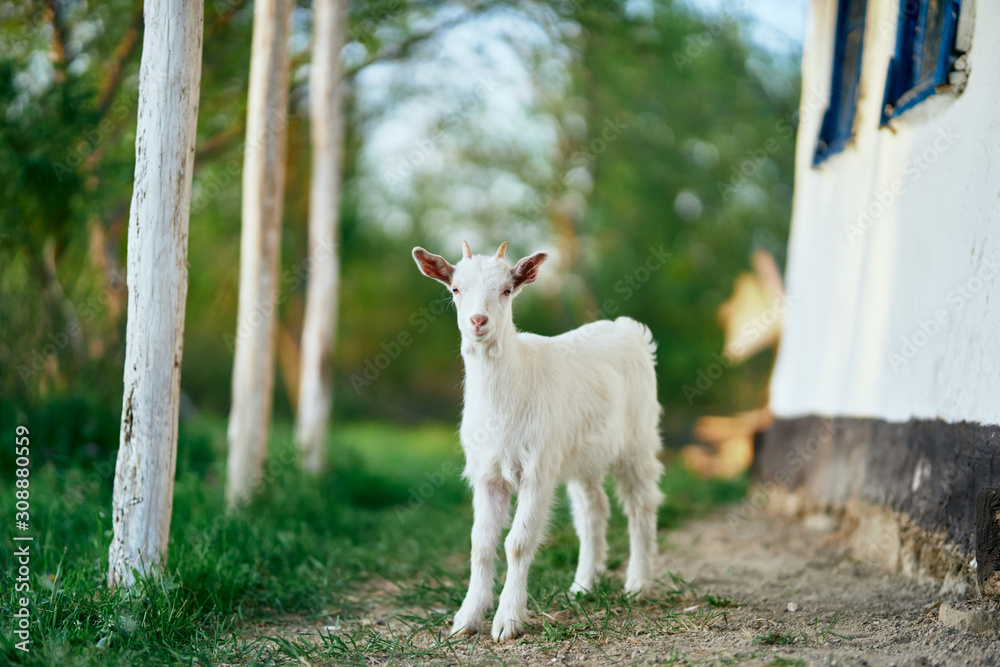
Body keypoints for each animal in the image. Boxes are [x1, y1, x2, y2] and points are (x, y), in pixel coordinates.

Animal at [411, 241, 664, 643]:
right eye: (455, 289)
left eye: (506, 290)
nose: (478, 321)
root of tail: (630, 330)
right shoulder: (487, 473)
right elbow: (481, 543)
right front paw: (466, 618)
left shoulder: (537, 469)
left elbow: (517, 543)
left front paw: (507, 621)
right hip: (580, 454)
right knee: (593, 510)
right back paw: (583, 586)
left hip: (637, 441)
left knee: (641, 506)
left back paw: (638, 584)